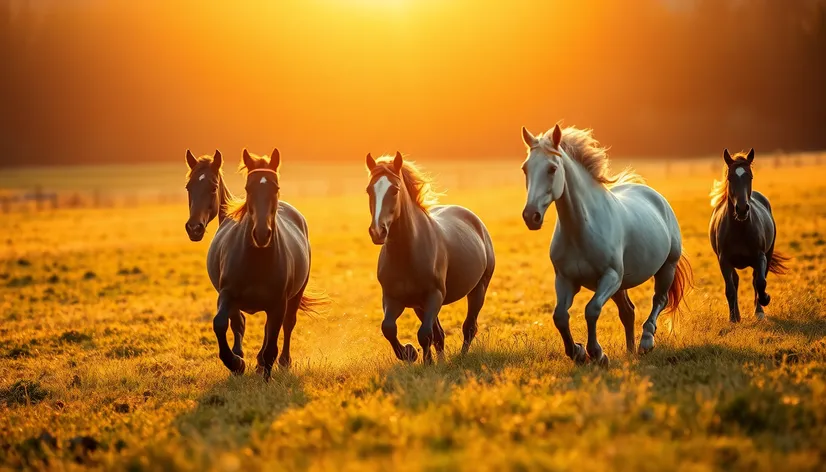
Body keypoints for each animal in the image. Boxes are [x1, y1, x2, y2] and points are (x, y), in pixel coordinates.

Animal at [204, 149, 326, 378]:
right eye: (248, 188)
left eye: (275, 188)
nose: (262, 234)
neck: (256, 259)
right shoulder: (227, 294)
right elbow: (220, 323)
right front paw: (235, 362)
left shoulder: (278, 303)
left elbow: (272, 342)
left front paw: (265, 375)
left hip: (295, 295)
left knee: (287, 325)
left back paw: (282, 362)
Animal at [364, 153, 492, 364]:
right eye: (369, 190)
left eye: (394, 189)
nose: (377, 231)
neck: (407, 254)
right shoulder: (392, 298)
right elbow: (389, 328)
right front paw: (410, 353)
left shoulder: (435, 296)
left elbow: (424, 334)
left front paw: (426, 362)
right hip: (420, 305)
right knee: (439, 333)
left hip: (478, 289)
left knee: (469, 327)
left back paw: (461, 357)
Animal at [520, 123, 688, 364]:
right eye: (525, 168)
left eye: (552, 169)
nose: (530, 216)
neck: (581, 230)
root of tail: (655, 197)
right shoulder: (565, 279)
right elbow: (560, 316)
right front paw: (578, 352)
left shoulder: (610, 276)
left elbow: (592, 310)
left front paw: (597, 353)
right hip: (622, 286)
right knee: (628, 312)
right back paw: (630, 351)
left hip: (666, 268)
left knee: (659, 299)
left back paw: (646, 342)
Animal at [704, 149, 788, 322]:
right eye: (730, 177)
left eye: (750, 177)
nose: (742, 209)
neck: (739, 229)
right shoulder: (724, 261)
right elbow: (729, 288)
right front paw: (733, 318)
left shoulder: (760, 257)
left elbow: (760, 282)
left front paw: (764, 301)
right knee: (735, 282)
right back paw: (736, 314)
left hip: (768, 255)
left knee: (756, 279)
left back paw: (759, 309)